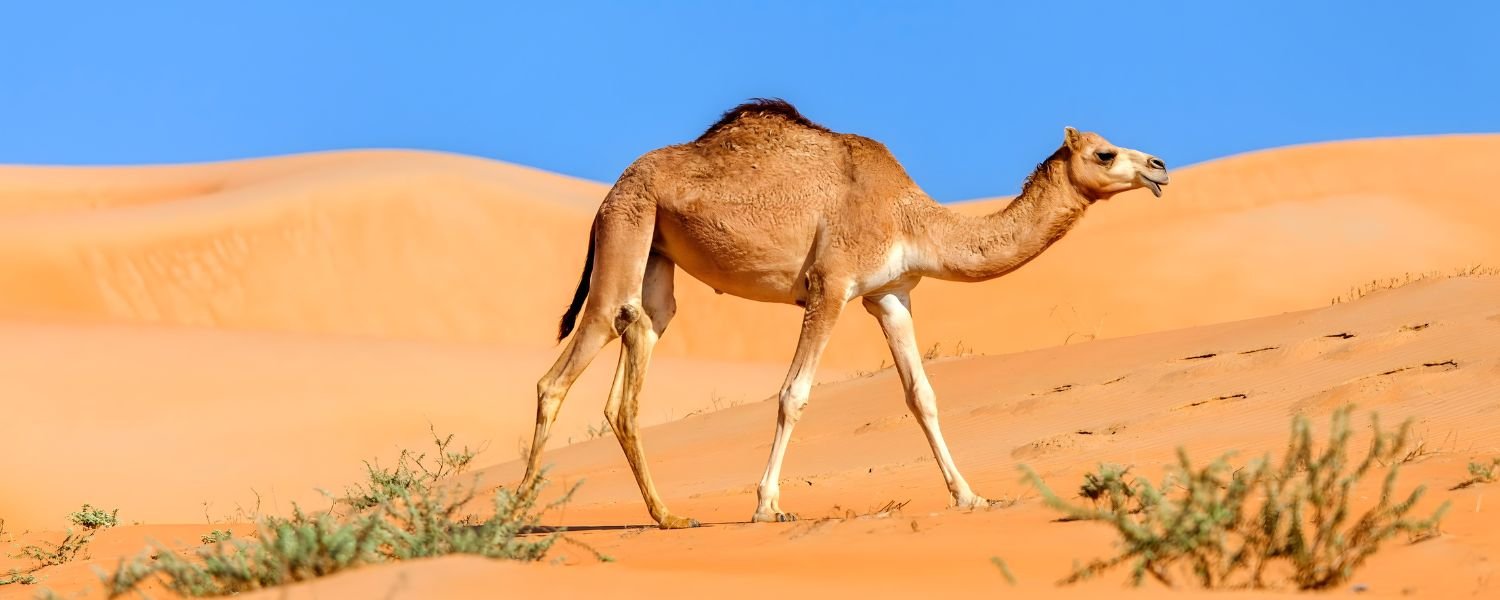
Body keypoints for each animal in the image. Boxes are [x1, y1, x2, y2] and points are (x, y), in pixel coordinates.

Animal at [519, 98, 1169, 528]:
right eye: (1105, 152)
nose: (1158, 166)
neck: (911, 216)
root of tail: (612, 188)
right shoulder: (830, 285)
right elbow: (794, 394)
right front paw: (768, 505)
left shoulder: (891, 295)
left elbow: (922, 395)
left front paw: (971, 497)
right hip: (625, 228)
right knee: (563, 370)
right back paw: (523, 511)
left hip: (654, 255)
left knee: (635, 359)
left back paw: (668, 516)